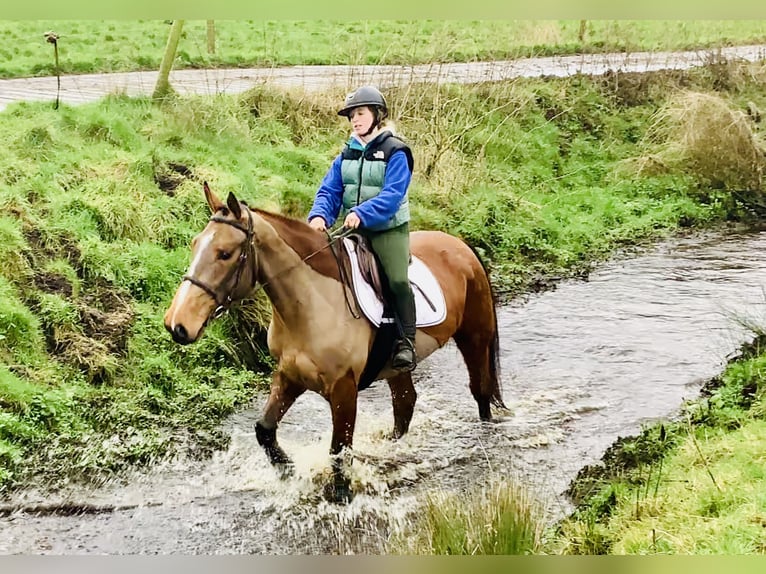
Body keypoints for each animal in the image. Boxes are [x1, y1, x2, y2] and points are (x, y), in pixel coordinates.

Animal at [164, 182, 506, 502]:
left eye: (225, 253)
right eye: (195, 245)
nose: (177, 324)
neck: (313, 303)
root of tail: (461, 245)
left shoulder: (344, 389)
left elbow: (339, 450)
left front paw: (340, 496)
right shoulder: (289, 376)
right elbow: (265, 430)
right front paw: (288, 470)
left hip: (474, 336)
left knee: (480, 389)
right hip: (397, 367)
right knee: (405, 405)